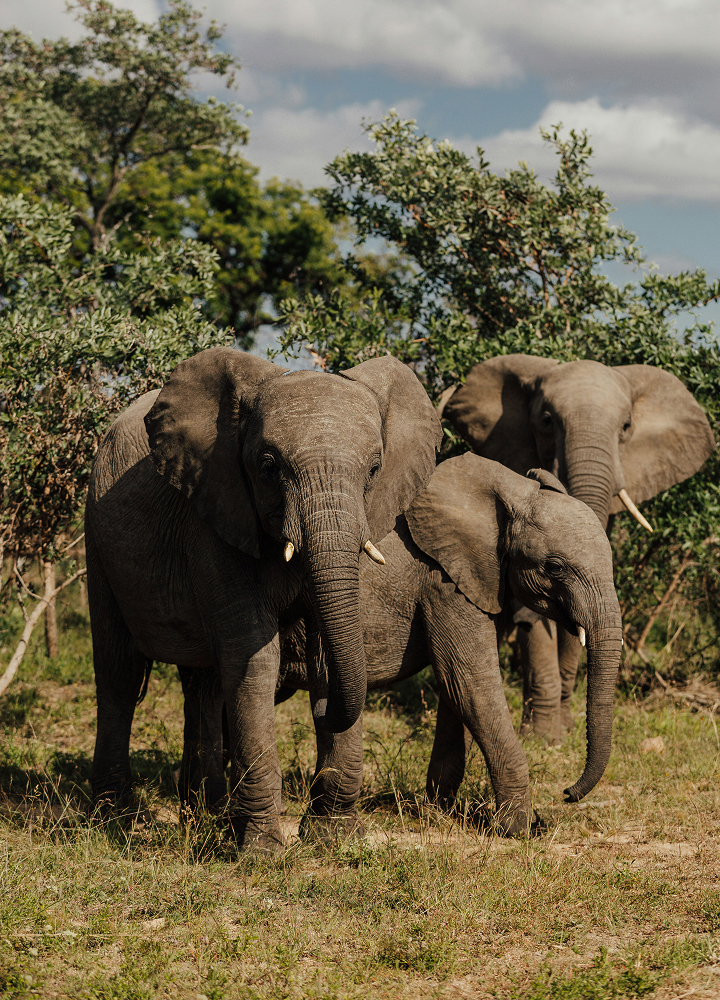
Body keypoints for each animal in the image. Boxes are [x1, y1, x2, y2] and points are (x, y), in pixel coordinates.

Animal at [85, 346, 441, 851]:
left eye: (375, 469)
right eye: (269, 466)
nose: (325, 711)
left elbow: (327, 655)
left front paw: (335, 839)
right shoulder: (214, 517)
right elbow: (254, 658)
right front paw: (261, 851)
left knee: (203, 682)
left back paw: (206, 811)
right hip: (96, 537)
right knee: (119, 670)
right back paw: (116, 817)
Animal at [181, 453, 623, 837]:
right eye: (555, 567)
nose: (567, 794)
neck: (505, 490)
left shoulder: (473, 580)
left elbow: (455, 689)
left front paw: (441, 808)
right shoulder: (444, 581)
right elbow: (471, 684)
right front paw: (522, 829)